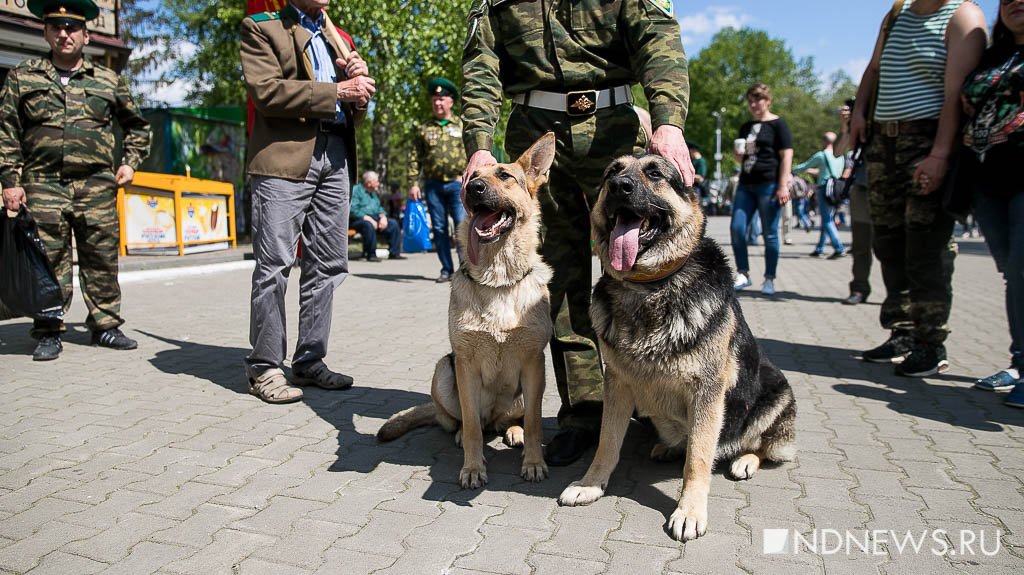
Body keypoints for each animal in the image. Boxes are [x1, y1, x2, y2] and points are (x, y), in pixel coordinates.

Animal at [376, 131, 557, 484]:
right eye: (472, 178)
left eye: (505, 176)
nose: (474, 189)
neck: (499, 280)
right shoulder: (465, 365)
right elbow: (473, 425)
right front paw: (473, 468)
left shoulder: (533, 363)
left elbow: (534, 422)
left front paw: (533, 462)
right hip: (444, 373)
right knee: (467, 422)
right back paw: (462, 434)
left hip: (524, 389)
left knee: (512, 419)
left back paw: (512, 430)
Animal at [557, 152, 794, 536]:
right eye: (612, 172)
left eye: (655, 173)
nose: (619, 186)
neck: (650, 287)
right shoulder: (617, 384)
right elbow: (607, 442)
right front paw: (590, 484)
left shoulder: (707, 393)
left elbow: (698, 459)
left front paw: (690, 511)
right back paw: (667, 448)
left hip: (777, 392)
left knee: (760, 447)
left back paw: (743, 461)